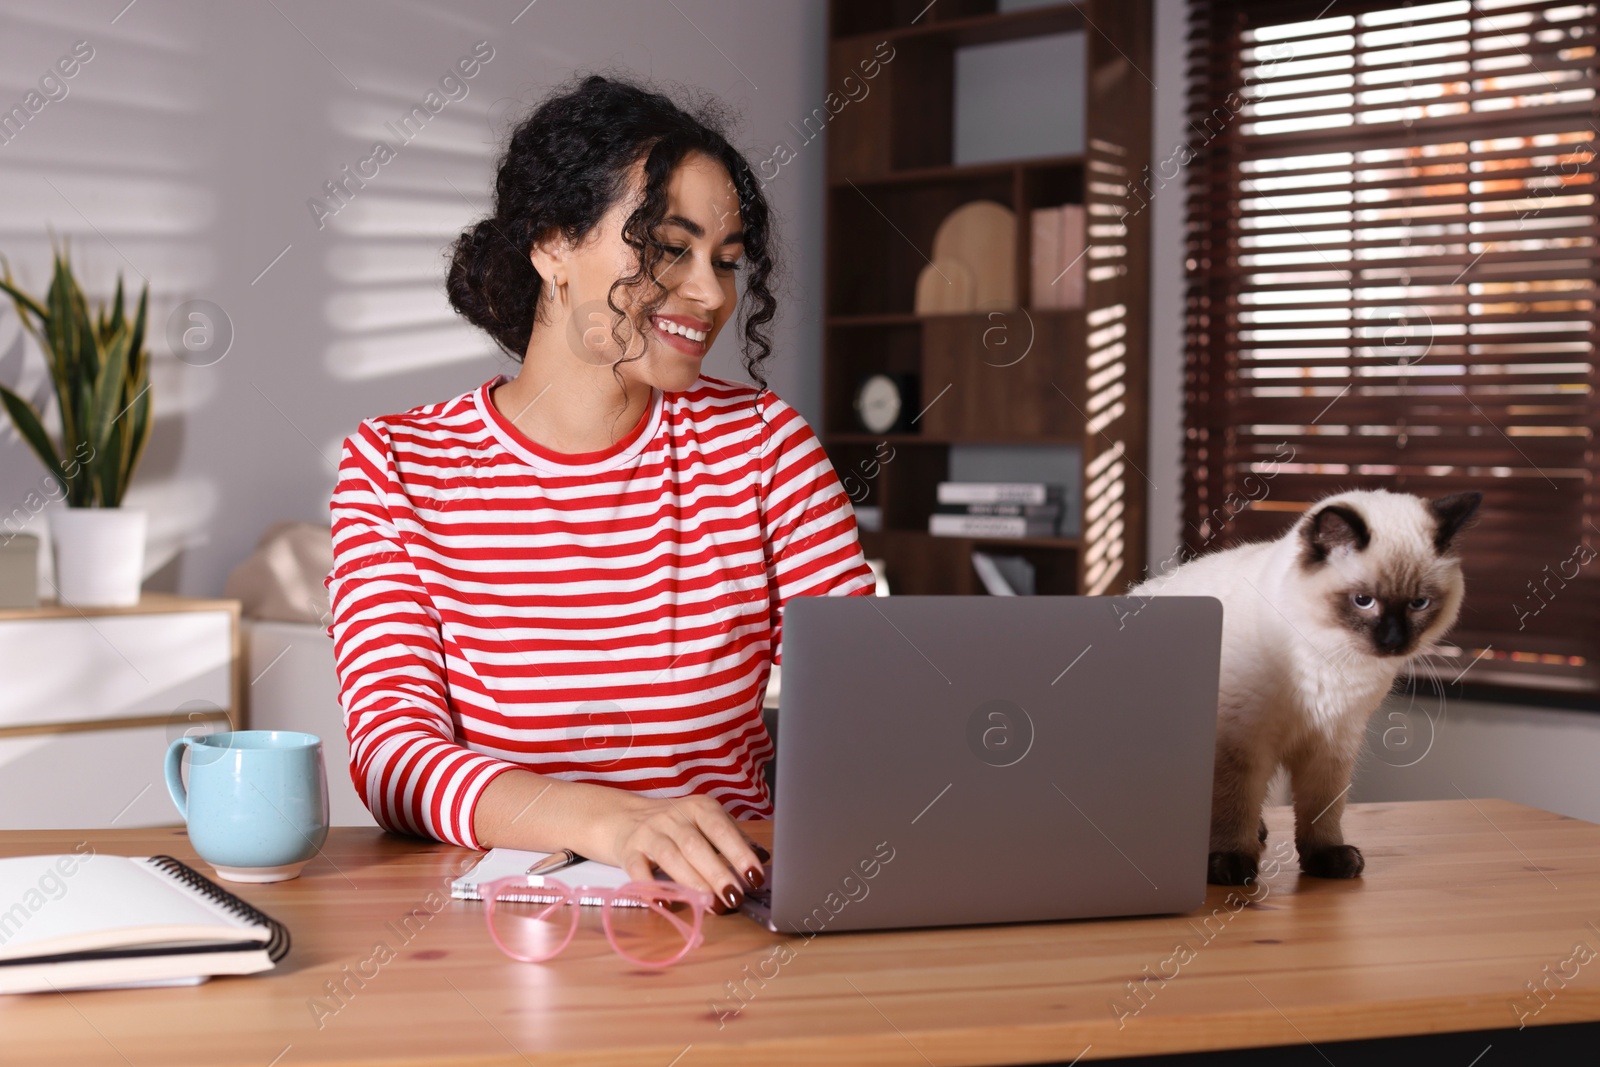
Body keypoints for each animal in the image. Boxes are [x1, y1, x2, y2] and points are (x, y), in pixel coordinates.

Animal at [1132, 489, 1478, 883]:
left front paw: (1327, 860)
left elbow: (1322, 808)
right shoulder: (1241, 742)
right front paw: (1232, 864)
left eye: (1419, 603)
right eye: (1364, 601)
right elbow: (1234, 804)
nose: (1394, 641)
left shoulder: (1333, 740)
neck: (1332, 658)